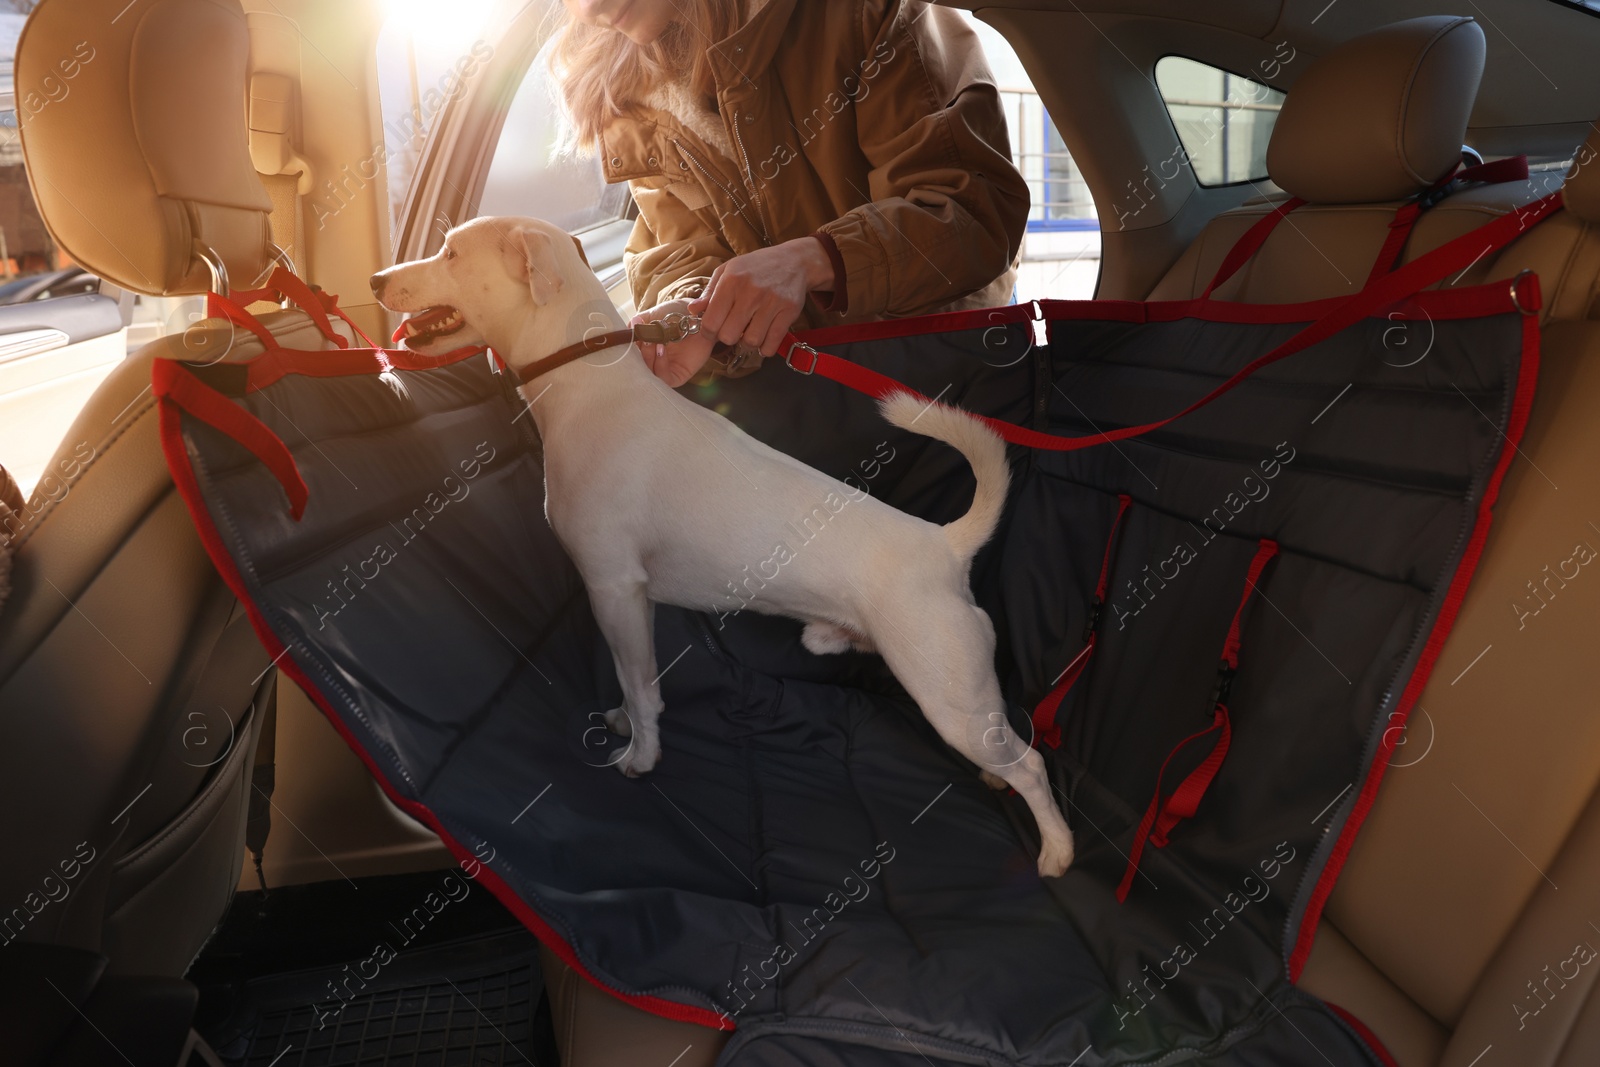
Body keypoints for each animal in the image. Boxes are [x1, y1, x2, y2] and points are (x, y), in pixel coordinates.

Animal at [371, 217, 1075, 876]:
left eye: (451, 253)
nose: (376, 280)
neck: (586, 383)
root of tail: (944, 545)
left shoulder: (611, 588)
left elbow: (640, 686)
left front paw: (641, 756)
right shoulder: (633, 602)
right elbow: (633, 680)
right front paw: (626, 722)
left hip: (947, 696)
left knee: (1033, 765)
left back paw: (1057, 850)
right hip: (967, 703)